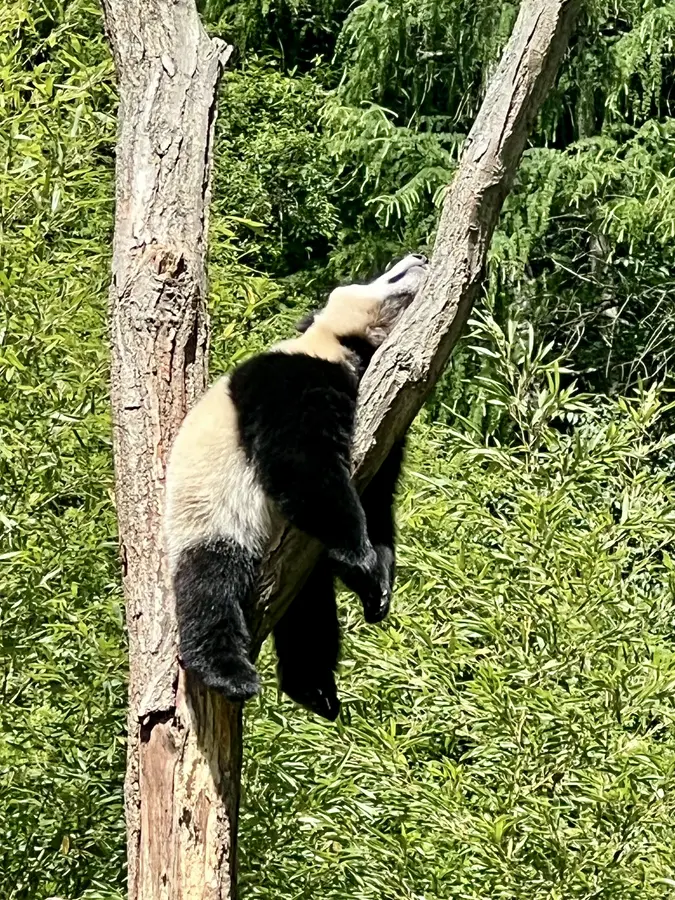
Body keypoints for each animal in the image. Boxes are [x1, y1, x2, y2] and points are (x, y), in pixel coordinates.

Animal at [164, 252, 428, 720]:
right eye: (378, 275)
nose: (419, 257)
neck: (342, 346)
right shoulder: (287, 376)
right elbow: (302, 464)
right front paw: (362, 562)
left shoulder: (387, 418)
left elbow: (377, 495)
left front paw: (378, 583)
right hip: (209, 515)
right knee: (210, 585)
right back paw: (228, 675)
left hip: (300, 561)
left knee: (310, 613)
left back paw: (312, 688)